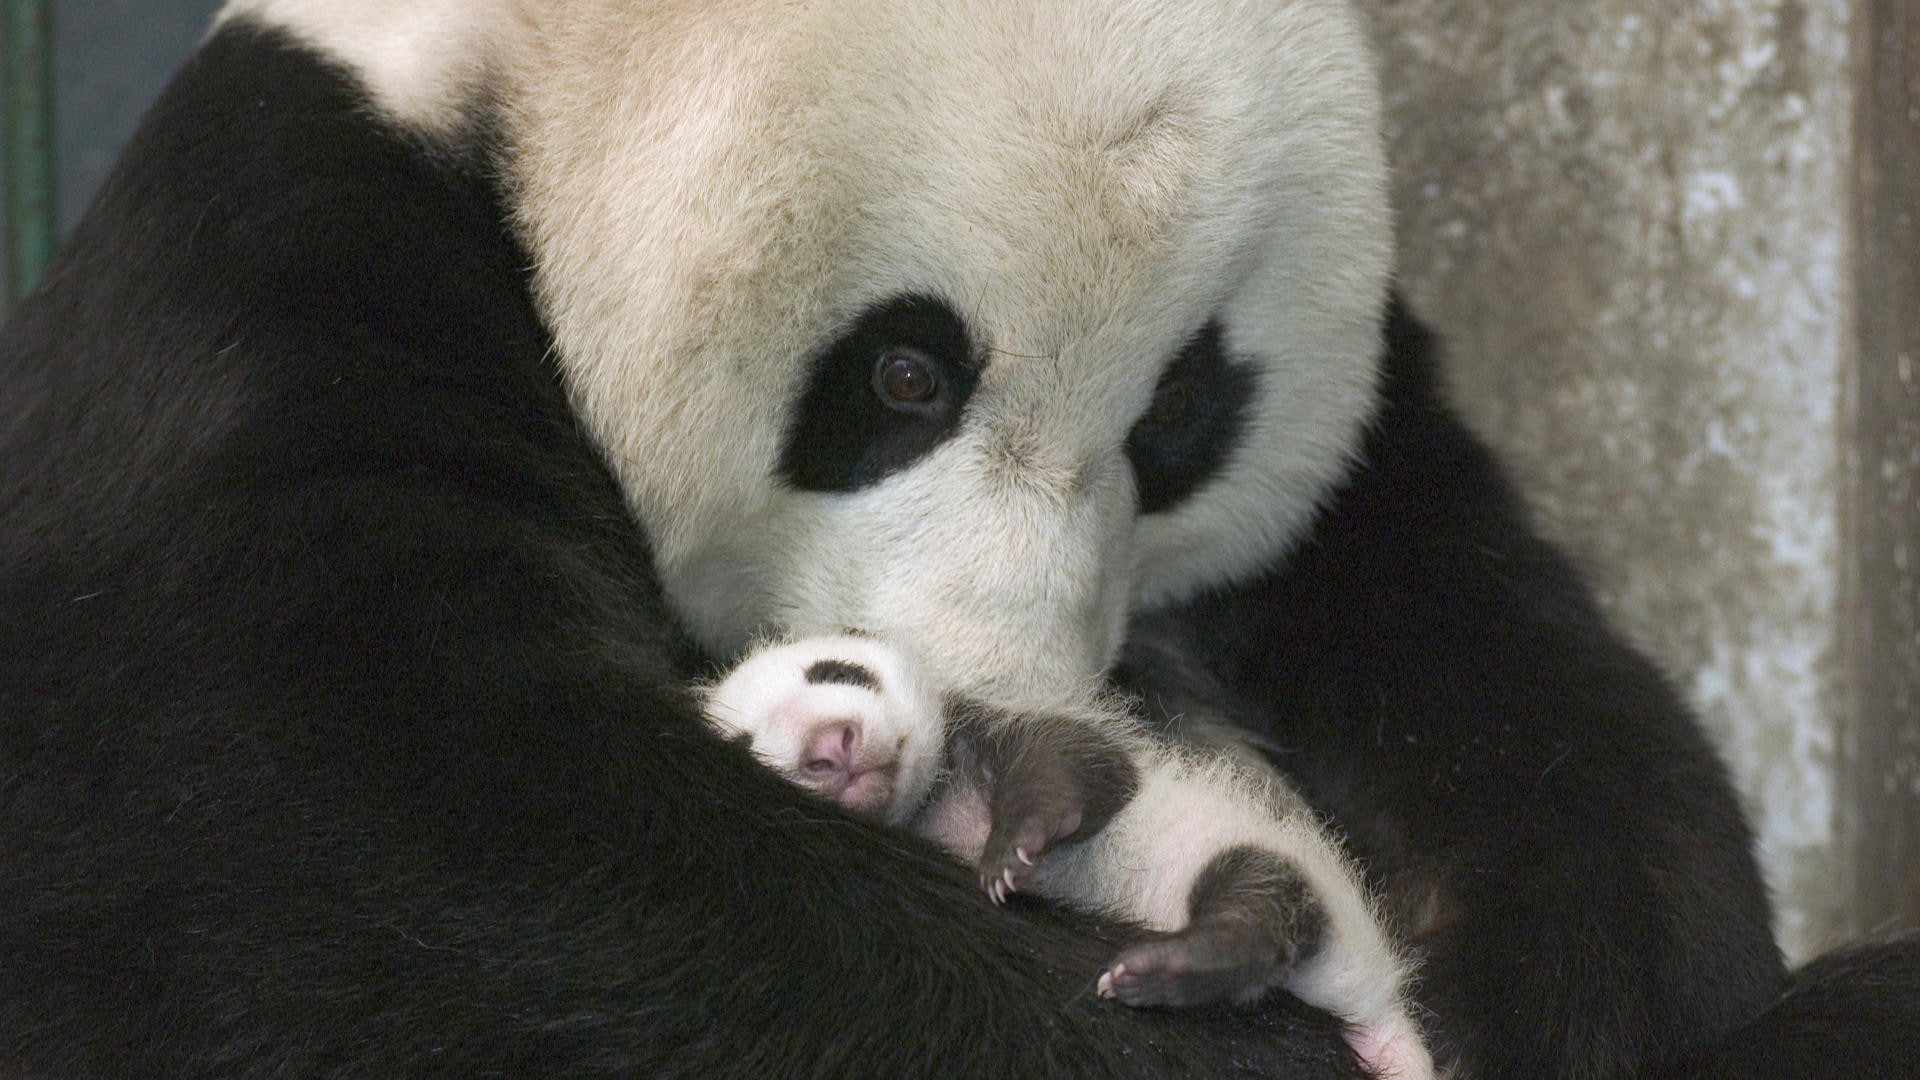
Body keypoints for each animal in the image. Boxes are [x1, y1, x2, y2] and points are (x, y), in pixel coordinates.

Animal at [1, 0, 1915, 1077]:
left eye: (1181, 418)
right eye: (905, 372)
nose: (1002, 694)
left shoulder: (1370, 467)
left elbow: (1539, 717)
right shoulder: (275, 294)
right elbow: (395, 846)